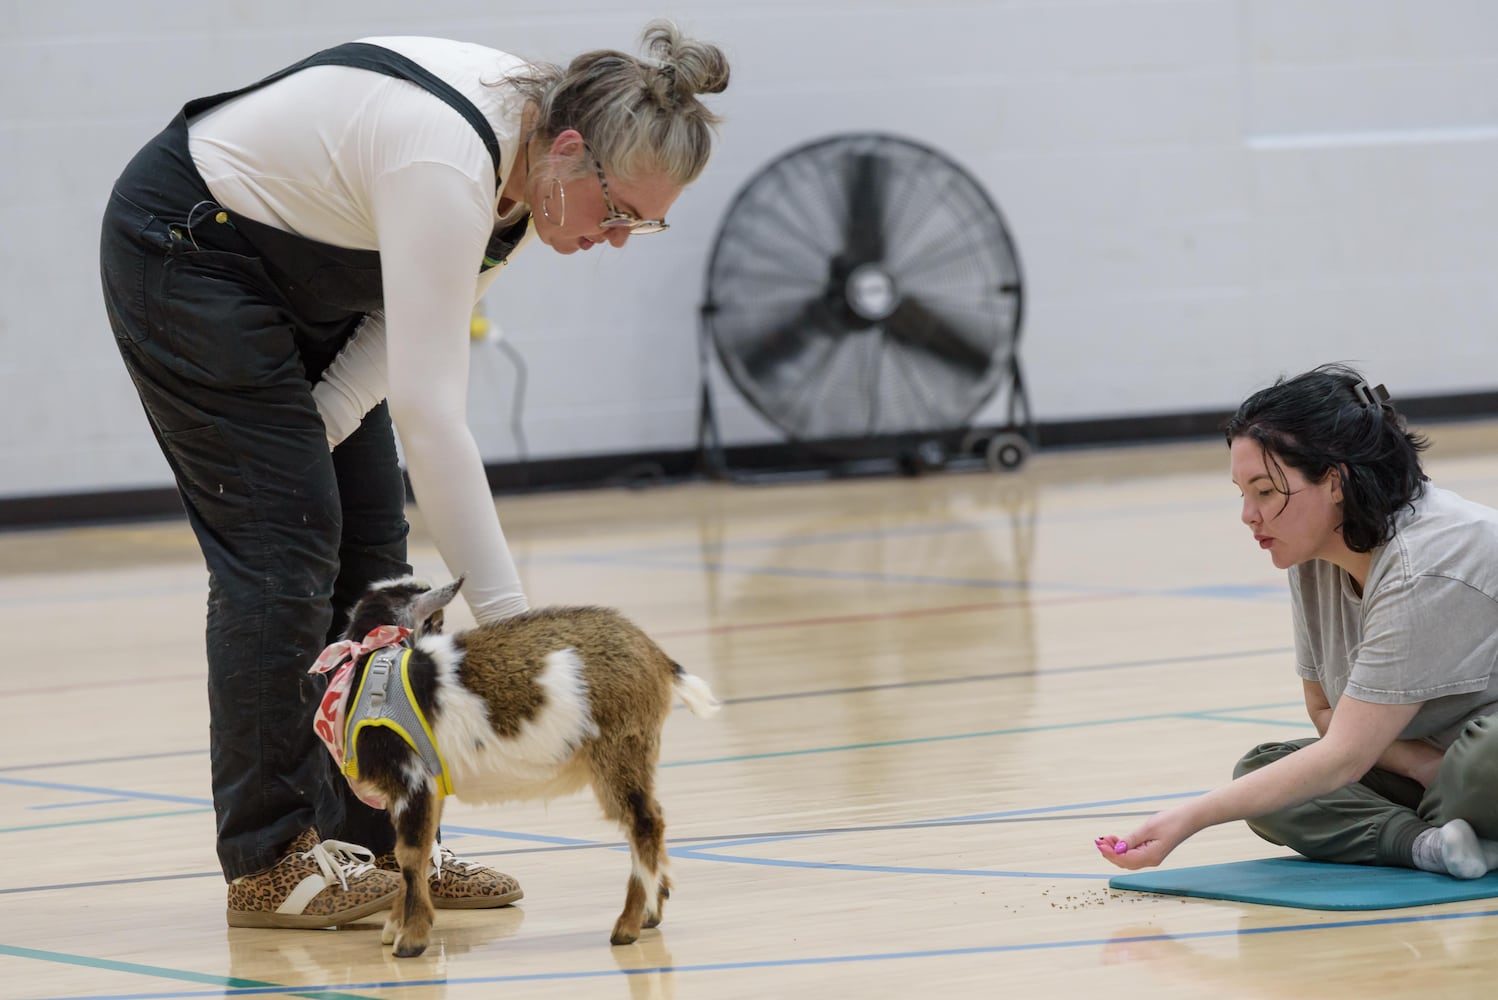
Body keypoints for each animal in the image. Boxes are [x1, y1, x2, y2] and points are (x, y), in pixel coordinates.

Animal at [311, 577, 719, 958]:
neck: (375, 669)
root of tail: (656, 655)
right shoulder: (428, 786)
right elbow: (421, 850)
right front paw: (396, 925)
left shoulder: (411, 781)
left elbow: (409, 855)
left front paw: (410, 940)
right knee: (650, 818)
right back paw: (652, 911)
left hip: (620, 747)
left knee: (645, 823)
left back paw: (628, 926)